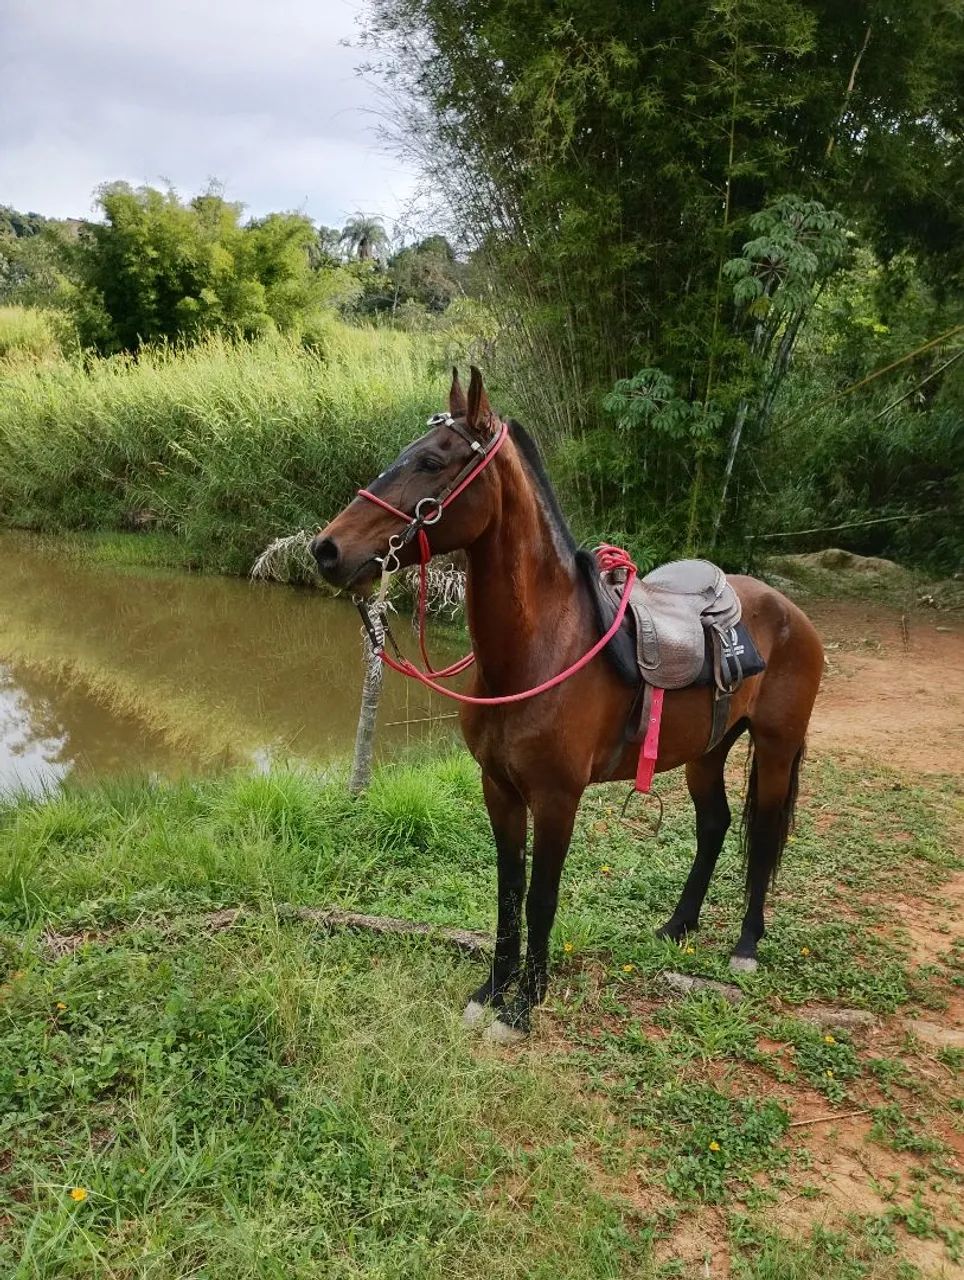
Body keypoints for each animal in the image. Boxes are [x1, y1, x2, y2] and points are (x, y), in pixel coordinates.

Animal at [311, 367, 824, 1044]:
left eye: (430, 461)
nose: (327, 550)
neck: (540, 650)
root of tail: (789, 612)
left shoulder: (557, 797)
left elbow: (541, 897)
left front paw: (524, 1004)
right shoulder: (499, 789)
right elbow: (508, 889)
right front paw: (492, 990)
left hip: (776, 746)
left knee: (761, 836)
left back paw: (745, 947)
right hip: (706, 751)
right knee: (713, 825)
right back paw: (677, 926)